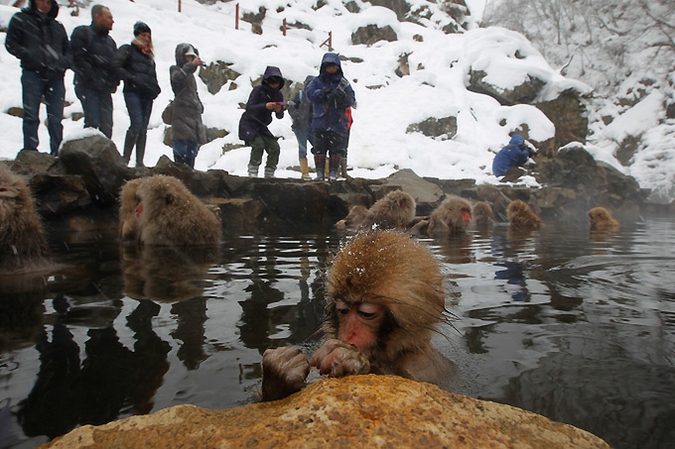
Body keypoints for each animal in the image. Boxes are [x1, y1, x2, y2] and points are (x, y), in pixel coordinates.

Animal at [262, 229, 456, 400]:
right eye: (343, 310)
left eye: (366, 313)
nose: (349, 334)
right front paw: (280, 371)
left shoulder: (420, 367)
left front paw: (347, 358)